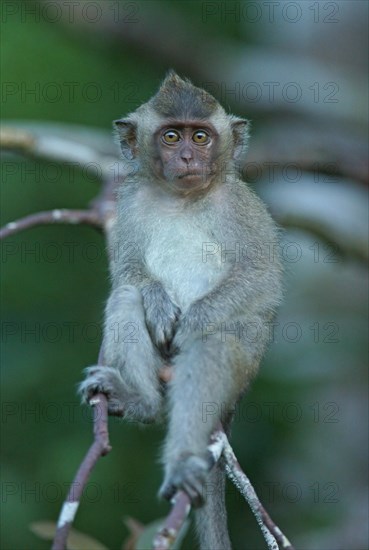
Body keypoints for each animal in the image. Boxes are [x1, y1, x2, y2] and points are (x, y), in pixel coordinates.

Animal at [79, 73, 282, 550]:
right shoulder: (130, 202)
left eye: (201, 136)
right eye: (171, 137)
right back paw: (142, 402)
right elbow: (129, 276)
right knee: (125, 299)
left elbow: (261, 279)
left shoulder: (243, 206)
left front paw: (191, 324)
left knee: (213, 350)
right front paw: (156, 299)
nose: (188, 156)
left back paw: (183, 462)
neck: (184, 198)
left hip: (245, 364)